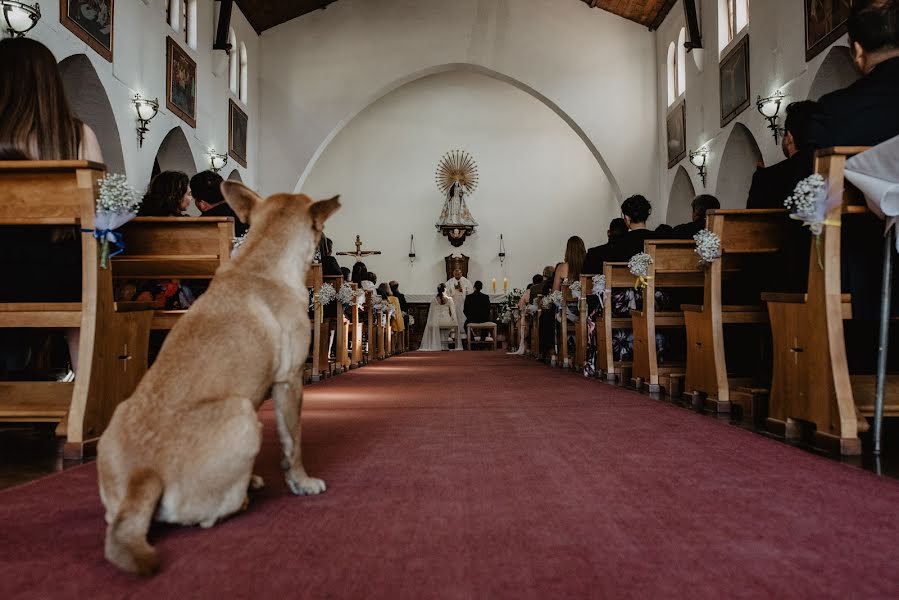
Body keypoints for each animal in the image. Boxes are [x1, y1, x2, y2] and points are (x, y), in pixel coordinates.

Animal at [96, 184, 342, 576]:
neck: (259, 263)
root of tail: (143, 475)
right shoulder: (289, 382)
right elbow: (294, 441)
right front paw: (301, 481)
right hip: (243, 414)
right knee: (212, 514)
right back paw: (243, 496)